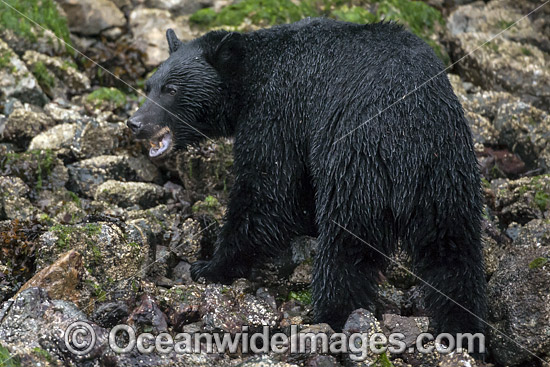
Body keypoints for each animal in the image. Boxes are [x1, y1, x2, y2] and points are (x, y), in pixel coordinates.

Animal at [128, 17, 488, 340]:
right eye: (148, 87)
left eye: (171, 89)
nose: (135, 123)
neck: (251, 76)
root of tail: (408, 146)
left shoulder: (278, 112)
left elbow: (267, 188)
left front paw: (212, 266)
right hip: (447, 180)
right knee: (453, 255)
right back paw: (462, 326)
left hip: (357, 169)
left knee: (346, 251)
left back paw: (332, 316)